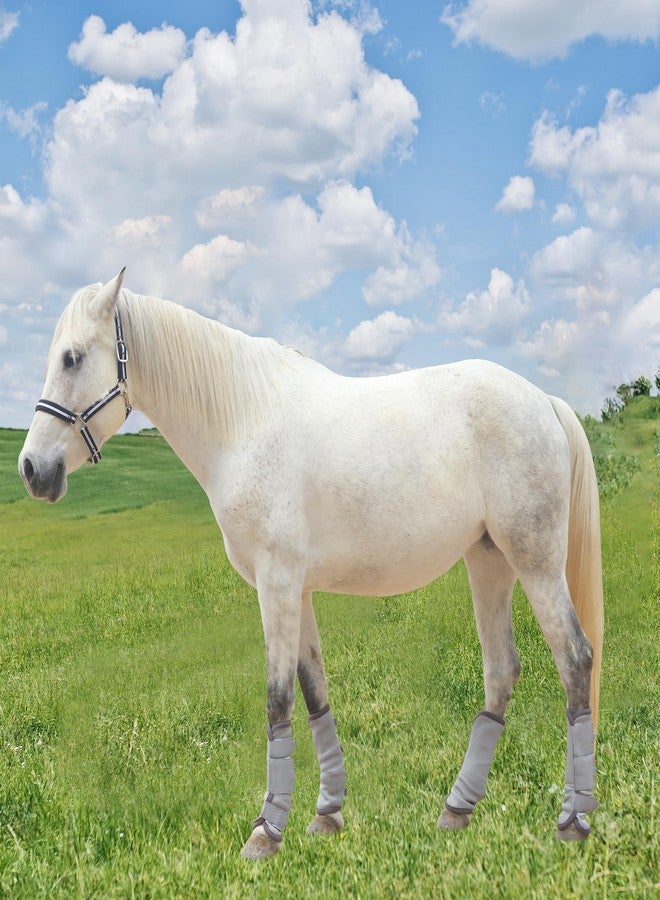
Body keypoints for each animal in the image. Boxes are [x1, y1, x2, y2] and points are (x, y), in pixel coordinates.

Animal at [19, 270, 603, 858]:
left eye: (72, 358)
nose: (31, 469)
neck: (242, 422)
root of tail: (544, 400)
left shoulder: (276, 584)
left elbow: (277, 697)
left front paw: (266, 831)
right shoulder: (296, 590)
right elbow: (314, 691)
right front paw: (326, 815)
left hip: (534, 561)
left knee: (575, 658)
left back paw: (572, 821)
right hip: (488, 563)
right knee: (502, 670)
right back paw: (457, 809)